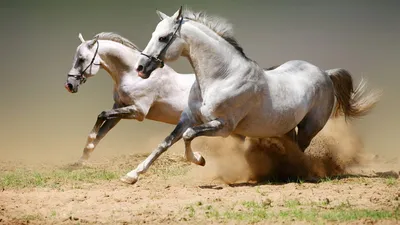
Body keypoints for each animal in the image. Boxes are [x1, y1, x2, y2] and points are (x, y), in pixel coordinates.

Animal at [121, 7, 382, 185]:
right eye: (154, 34)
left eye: (164, 37)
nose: (141, 68)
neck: (222, 76)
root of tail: (325, 73)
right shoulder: (189, 118)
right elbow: (165, 143)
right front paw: (132, 175)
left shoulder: (223, 127)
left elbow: (188, 136)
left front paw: (200, 159)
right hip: (286, 127)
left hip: (309, 127)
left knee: (301, 150)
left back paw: (299, 173)